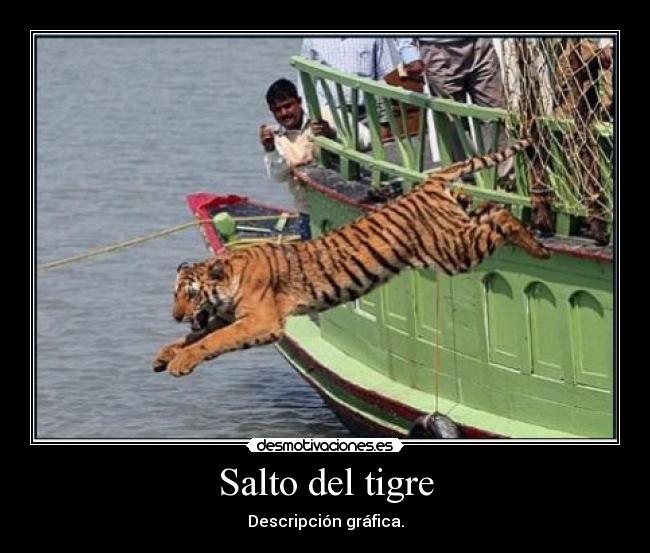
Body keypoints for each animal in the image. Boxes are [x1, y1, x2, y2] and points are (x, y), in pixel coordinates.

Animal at [153, 138, 549, 377]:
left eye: (190, 294)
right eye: (174, 294)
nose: (174, 316)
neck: (228, 282)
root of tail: (430, 180)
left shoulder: (261, 322)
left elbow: (211, 341)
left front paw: (180, 362)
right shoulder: (229, 317)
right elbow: (194, 337)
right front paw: (164, 354)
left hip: (454, 251)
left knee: (502, 215)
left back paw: (540, 248)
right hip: (457, 231)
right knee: (490, 208)